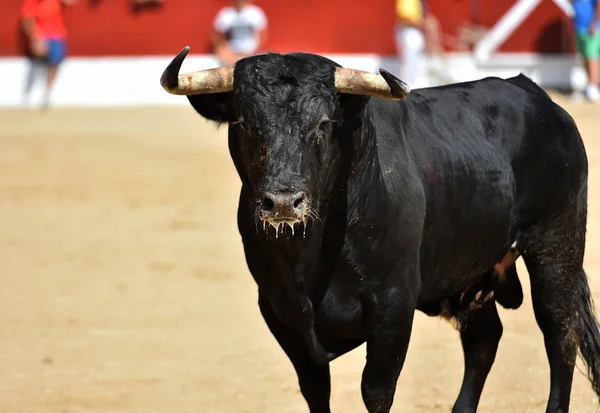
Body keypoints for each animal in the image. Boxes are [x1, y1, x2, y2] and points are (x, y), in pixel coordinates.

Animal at [161, 46, 600, 410]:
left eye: (324, 124)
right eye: (246, 124)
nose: (284, 202)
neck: (310, 255)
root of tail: (537, 96)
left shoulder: (393, 304)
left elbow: (376, 390)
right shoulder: (277, 308)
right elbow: (315, 388)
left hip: (556, 247)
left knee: (560, 333)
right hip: (472, 270)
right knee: (483, 339)